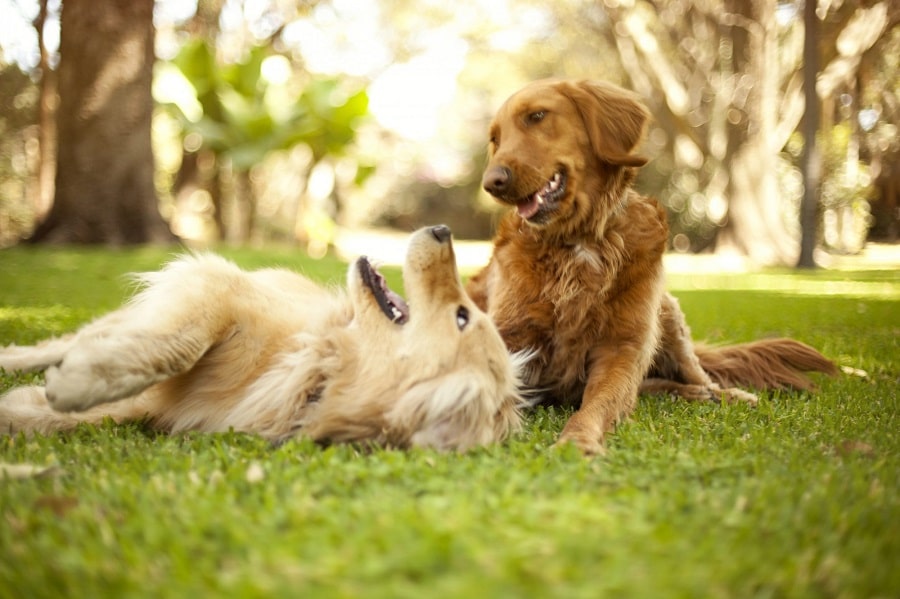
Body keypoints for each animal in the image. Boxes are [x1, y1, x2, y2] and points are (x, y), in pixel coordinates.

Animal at [0, 227, 528, 452]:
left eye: (462, 316)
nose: (442, 228)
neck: (318, 368)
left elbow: (68, 417)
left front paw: (34, 404)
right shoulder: (216, 287)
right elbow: (179, 345)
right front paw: (79, 382)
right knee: (64, 341)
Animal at [468, 78, 840, 454]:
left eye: (537, 116)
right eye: (495, 139)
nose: (492, 183)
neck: (580, 241)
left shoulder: (622, 348)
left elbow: (599, 404)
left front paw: (577, 440)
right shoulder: (509, 335)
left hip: (667, 316)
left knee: (695, 374)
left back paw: (722, 394)